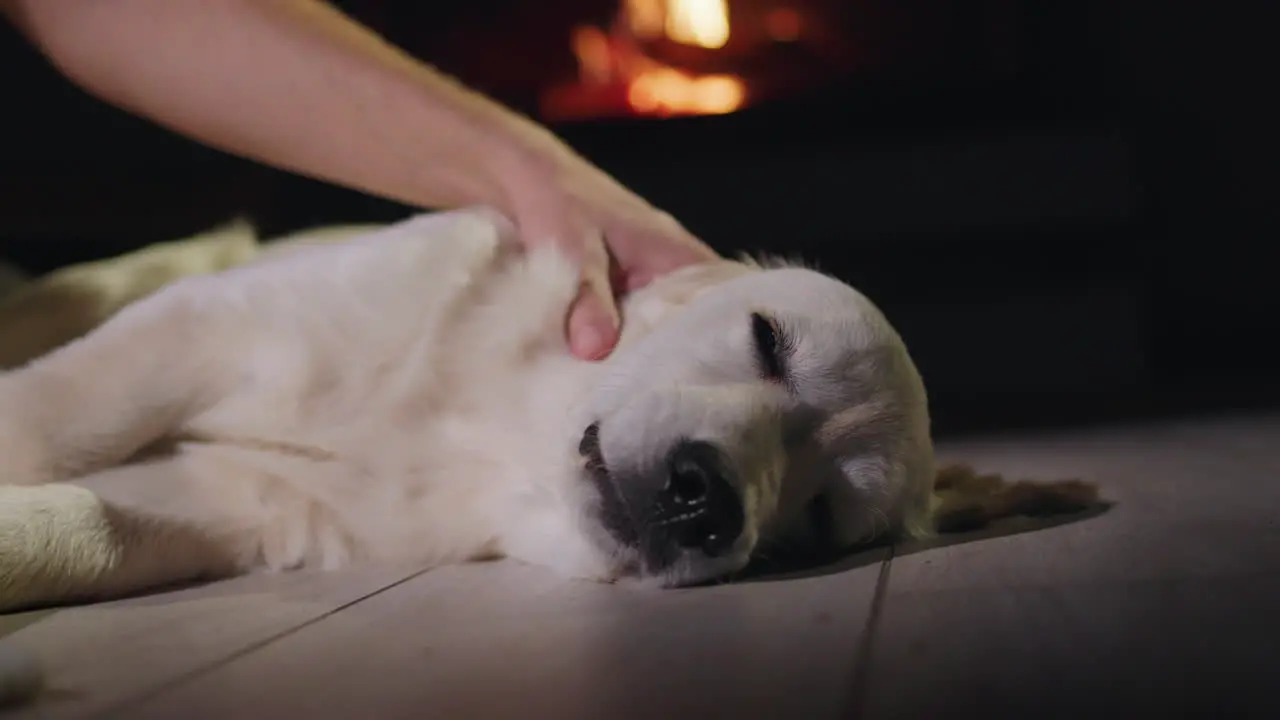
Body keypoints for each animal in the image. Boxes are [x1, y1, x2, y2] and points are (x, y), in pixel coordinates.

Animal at [0, 203, 1100, 609]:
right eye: (766, 341)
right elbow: (44, 420)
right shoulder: (204, 326)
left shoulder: (224, 502)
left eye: (822, 515)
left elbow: (87, 527)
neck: (499, 440)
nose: (705, 500)